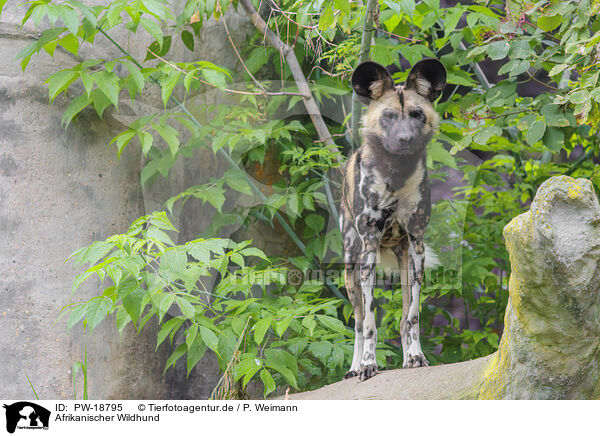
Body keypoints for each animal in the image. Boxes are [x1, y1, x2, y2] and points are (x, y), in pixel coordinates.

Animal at [340, 59, 448, 380]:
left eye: (416, 114)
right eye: (388, 116)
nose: (405, 139)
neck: (397, 173)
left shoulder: (416, 246)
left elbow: (411, 316)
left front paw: (415, 356)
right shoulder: (369, 251)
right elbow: (369, 323)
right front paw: (368, 364)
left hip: (403, 258)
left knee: (402, 317)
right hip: (351, 265)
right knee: (358, 322)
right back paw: (354, 367)